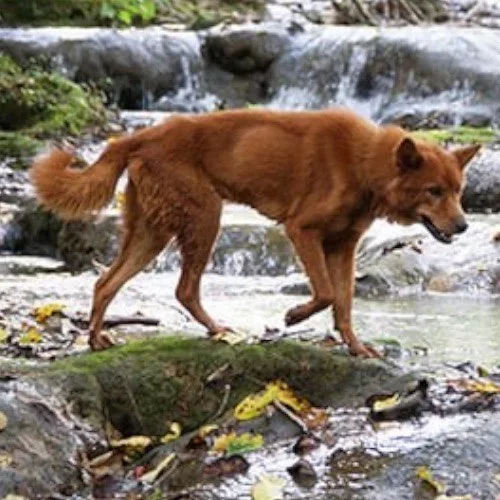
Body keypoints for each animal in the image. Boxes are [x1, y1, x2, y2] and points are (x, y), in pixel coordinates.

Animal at [30, 108, 480, 358]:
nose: (463, 226)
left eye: (459, 191)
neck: (364, 162)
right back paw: (217, 332)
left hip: (151, 232)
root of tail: (139, 136)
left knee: (106, 282)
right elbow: (326, 293)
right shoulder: (303, 230)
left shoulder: (344, 245)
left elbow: (344, 305)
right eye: (434, 191)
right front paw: (293, 316)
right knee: (183, 290)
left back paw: (96, 340)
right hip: (205, 217)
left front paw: (357, 348)